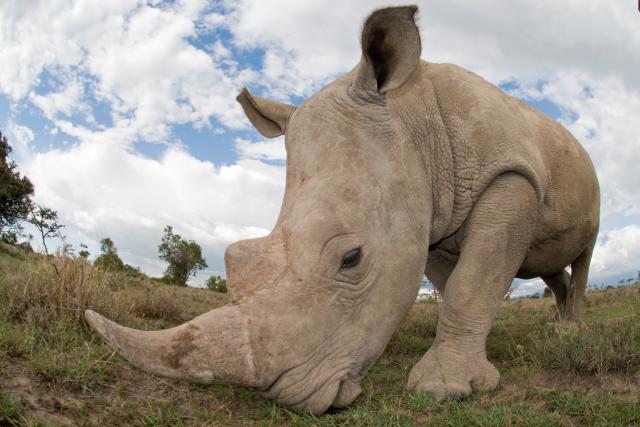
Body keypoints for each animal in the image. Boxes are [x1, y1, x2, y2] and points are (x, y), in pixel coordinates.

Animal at [85, 5, 600, 415]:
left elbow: (472, 283)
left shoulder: (509, 176)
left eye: (351, 259)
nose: (283, 394)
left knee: (584, 254)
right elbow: (458, 283)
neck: (415, 123)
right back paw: (558, 323)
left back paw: (569, 334)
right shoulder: (432, 222)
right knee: (548, 266)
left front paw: (444, 389)